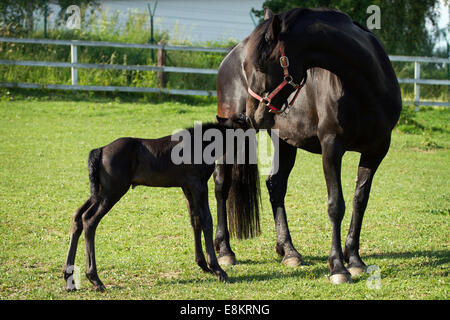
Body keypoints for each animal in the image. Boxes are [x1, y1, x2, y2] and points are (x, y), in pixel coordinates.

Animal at [62, 115, 248, 292]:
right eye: (243, 125)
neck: (201, 144)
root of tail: (100, 150)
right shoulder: (199, 185)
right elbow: (206, 221)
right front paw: (217, 270)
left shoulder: (187, 187)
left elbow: (195, 220)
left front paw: (203, 265)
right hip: (112, 192)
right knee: (89, 220)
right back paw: (95, 279)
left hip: (99, 193)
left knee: (77, 216)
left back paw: (68, 277)